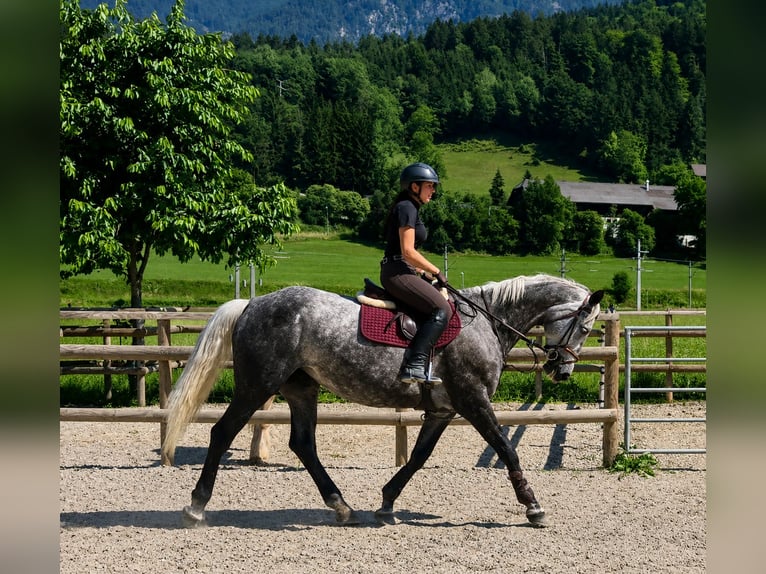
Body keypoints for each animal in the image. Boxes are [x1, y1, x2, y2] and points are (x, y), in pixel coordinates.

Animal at [161, 274, 603, 528]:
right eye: (585, 326)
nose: (563, 370)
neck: (486, 323)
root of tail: (253, 303)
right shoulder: (473, 402)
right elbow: (506, 449)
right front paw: (533, 506)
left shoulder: (442, 410)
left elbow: (419, 458)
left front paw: (387, 502)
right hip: (257, 385)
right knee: (222, 432)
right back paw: (196, 507)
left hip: (301, 388)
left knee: (303, 444)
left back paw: (341, 507)